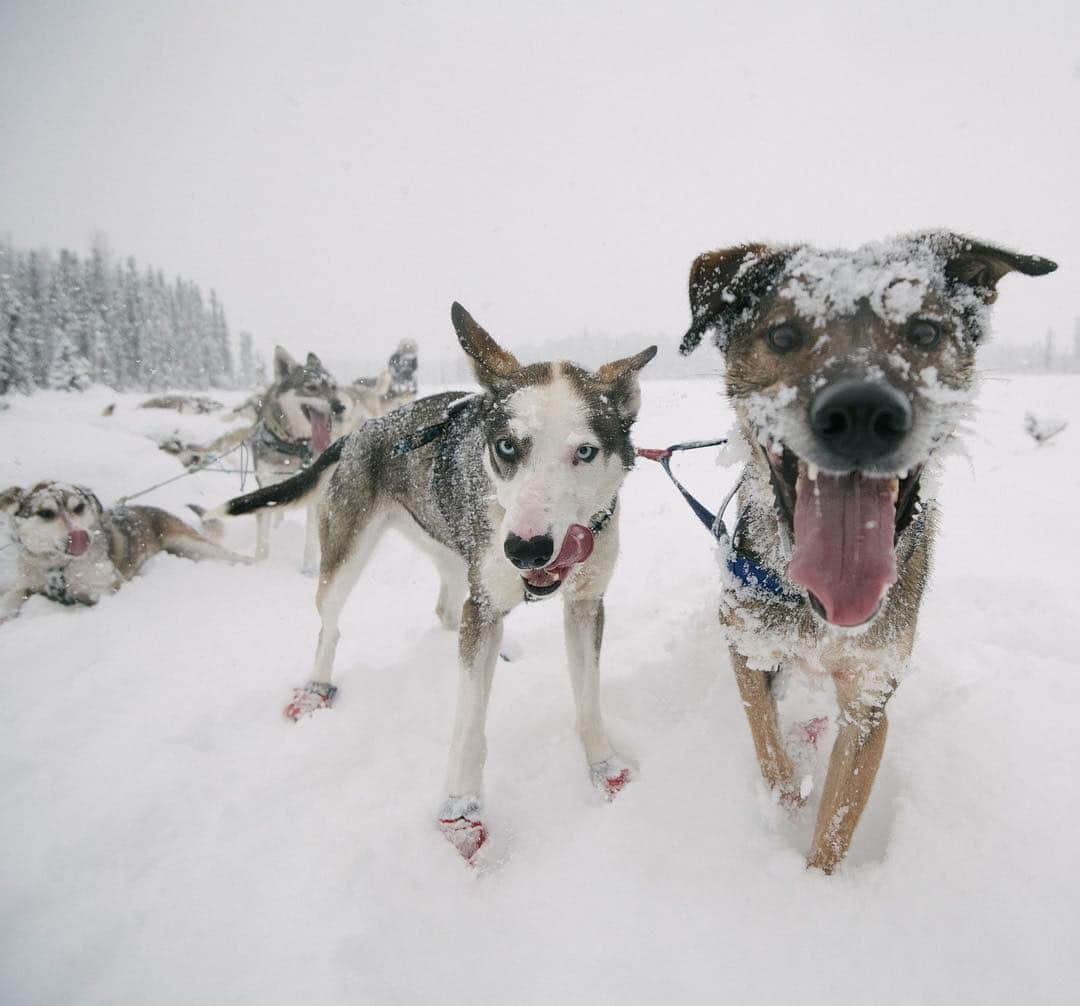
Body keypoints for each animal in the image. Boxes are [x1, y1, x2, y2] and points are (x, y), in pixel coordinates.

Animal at [1, 481, 248, 622]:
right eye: (46, 513)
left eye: (78, 508)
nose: (81, 535)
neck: (59, 566)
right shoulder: (26, 584)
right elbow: (12, 596)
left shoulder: (106, 590)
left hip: (193, 545)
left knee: (236, 557)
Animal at [248, 345, 345, 570]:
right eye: (311, 387)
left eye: (334, 387)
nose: (339, 407)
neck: (295, 446)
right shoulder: (266, 484)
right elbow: (263, 535)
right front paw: (260, 563)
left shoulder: (315, 489)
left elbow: (311, 537)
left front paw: (308, 568)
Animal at [678, 227, 1058, 873]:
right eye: (783, 334)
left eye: (924, 331)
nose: (860, 410)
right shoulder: (747, 643)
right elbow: (766, 736)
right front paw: (785, 804)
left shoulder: (870, 698)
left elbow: (838, 818)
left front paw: (815, 883)